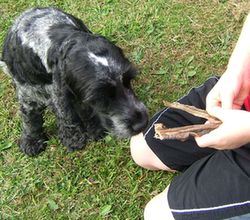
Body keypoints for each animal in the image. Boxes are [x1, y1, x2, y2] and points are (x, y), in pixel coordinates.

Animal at [0, 7, 147, 156]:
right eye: (100, 97)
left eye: (128, 81)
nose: (141, 124)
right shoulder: (28, 94)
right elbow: (30, 119)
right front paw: (32, 142)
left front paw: (95, 130)